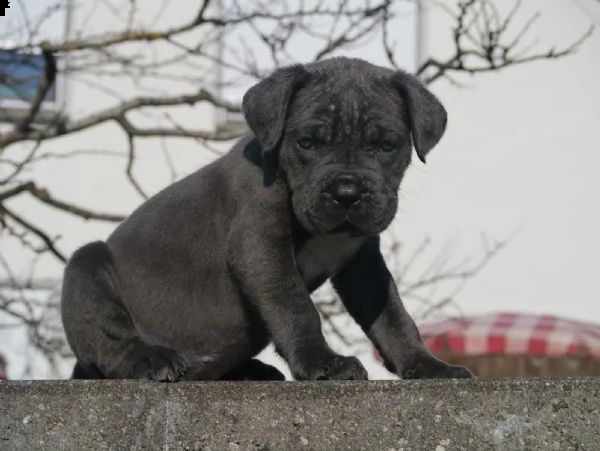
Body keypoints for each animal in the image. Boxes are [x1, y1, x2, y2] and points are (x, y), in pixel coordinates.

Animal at [61, 56, 474, 382]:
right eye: (307, 142)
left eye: (387, 145)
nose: (346, 192)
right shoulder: (261, 244)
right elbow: (295, 306)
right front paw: (322, 362)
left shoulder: (362, 263)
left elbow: (392, 314)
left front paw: (426, 365)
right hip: (86, 265)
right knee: (108, 343)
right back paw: (150, 360)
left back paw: (250, 371)